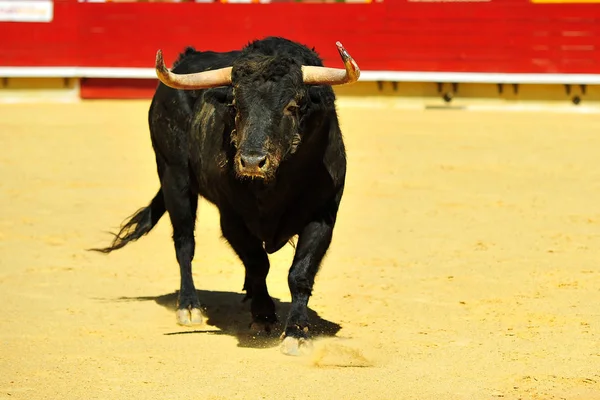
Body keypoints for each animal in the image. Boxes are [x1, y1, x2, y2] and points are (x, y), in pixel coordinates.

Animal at [91, 36, 358, 356]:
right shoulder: (231, 219)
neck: (274, 186)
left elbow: (300, 272)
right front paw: (263, 316)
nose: (252, 161)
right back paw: (189, 307)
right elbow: (258, 263)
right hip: (174, 178)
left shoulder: (322, 216)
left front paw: (297, 331)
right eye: (235, 105)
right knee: (184, 244)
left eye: (293, 105)